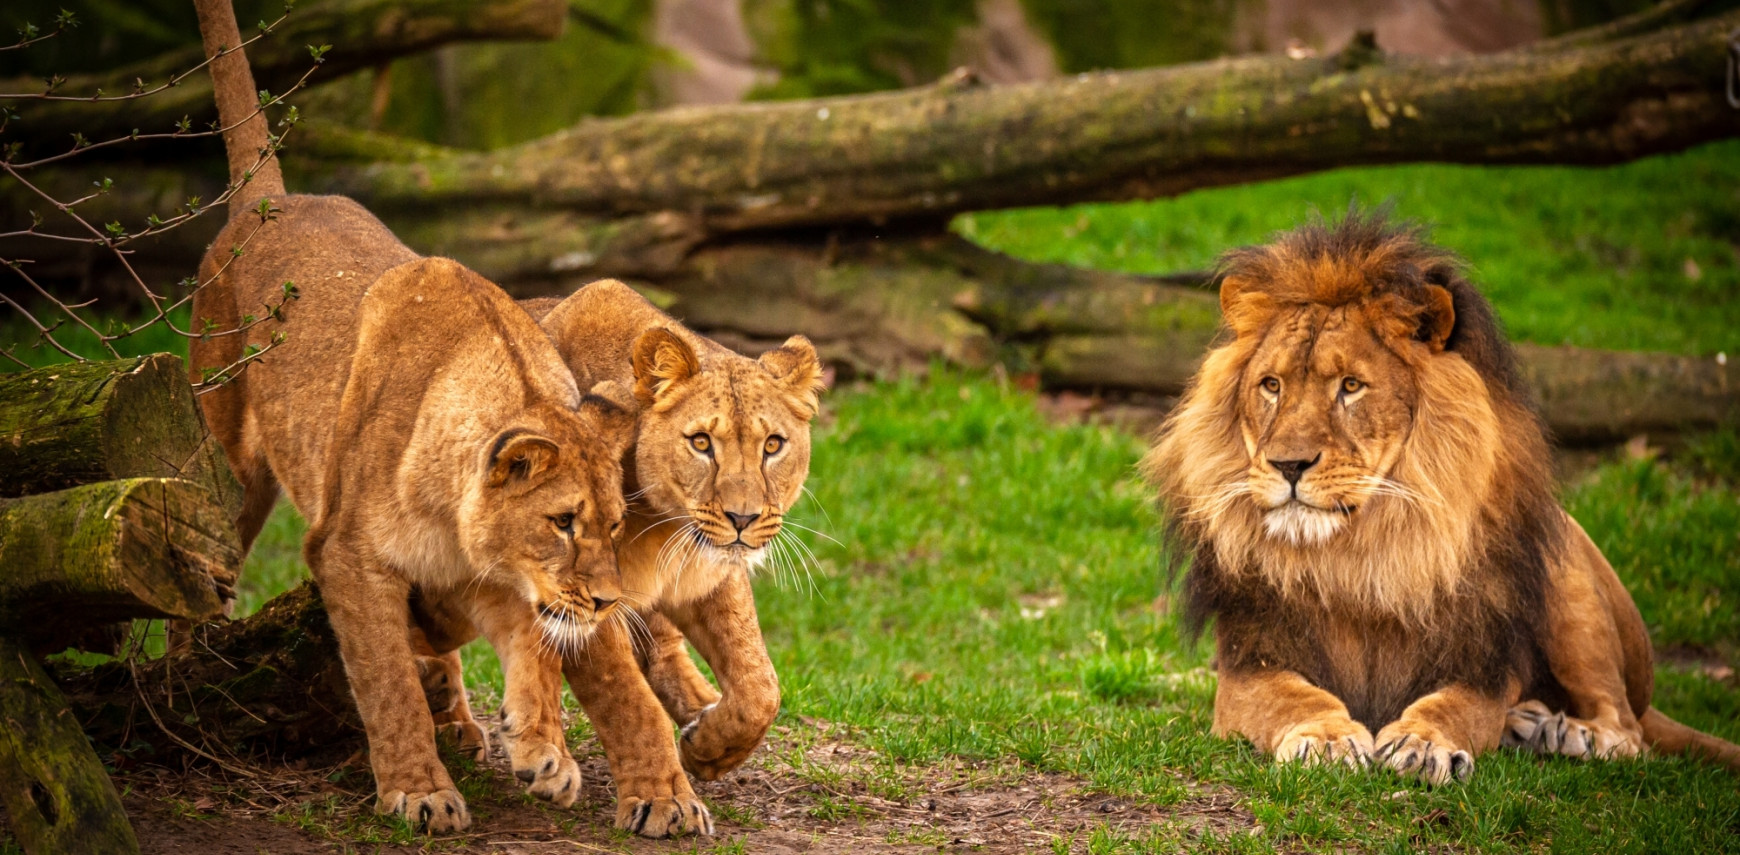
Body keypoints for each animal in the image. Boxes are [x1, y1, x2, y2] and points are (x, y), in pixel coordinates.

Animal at [192, 0, 640, 828]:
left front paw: (545, 749)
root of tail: (272, 200)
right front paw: (421, 790)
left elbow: (529, 639)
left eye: (617, 525)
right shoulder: (343, 553)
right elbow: (385, 677)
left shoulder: (484, 576)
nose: (605, 602)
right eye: (563, 521)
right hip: (229, 461)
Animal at [1148, 210, 1733, 787]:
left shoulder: (1481, 667)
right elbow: (1295, 699)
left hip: (1569, 579)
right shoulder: (1249, 666)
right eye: (1271, 385)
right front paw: (1327, 739)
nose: (1289, 465)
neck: (1353, 557)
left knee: (1629, 729)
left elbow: (1452, 707)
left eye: (1351, 386)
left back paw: (1561, 733)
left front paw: (1423, 744)